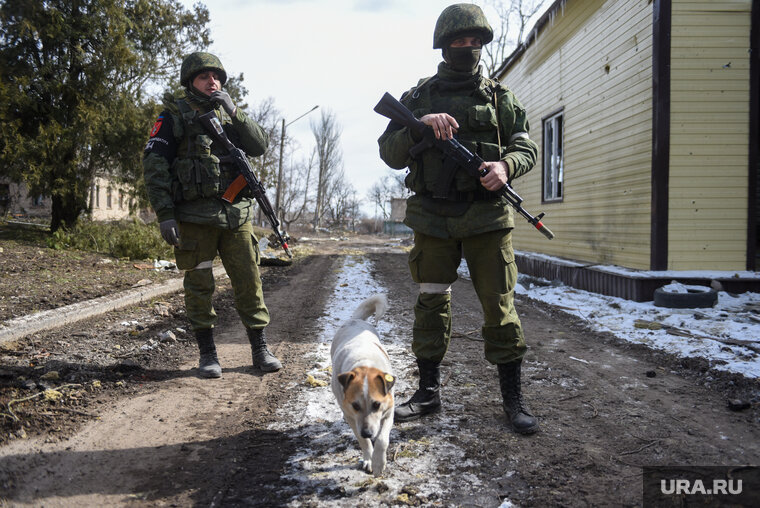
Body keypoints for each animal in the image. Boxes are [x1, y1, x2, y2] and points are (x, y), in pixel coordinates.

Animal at [330, 294, 394, 476]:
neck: (364, 365)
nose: (367, 433)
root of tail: (355, 319)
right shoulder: (353, 417)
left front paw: (379, 463)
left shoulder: (389, 410)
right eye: (355, 405)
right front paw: (370, 460)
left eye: (377, 404)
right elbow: (362, 441)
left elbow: (382, 439)